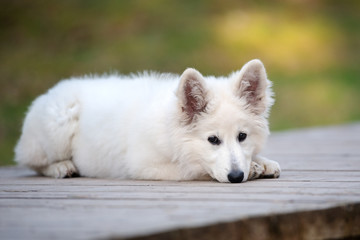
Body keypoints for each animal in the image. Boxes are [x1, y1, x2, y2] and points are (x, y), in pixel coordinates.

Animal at [15, 59, 282, 183]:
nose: (236, 177)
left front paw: (262, 162)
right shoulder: (144, 165)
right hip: (59, 126)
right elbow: (193, 170)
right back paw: (61, 167)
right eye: (213, 140)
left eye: (242, 136)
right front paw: (254, 167)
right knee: (32, 161)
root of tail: (50, 92)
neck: (172, 131)